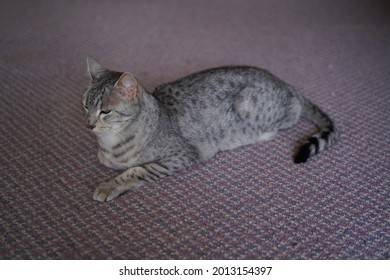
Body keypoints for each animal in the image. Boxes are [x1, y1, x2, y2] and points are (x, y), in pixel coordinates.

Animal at [83, 57, 338, 201]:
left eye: (105, 111)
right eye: (85, 105)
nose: (89, 124)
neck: (110, 142)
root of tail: (285, 83)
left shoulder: (182, 155)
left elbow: (136, 171)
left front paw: (109, 186)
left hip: (252, 106)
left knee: (293, 111)